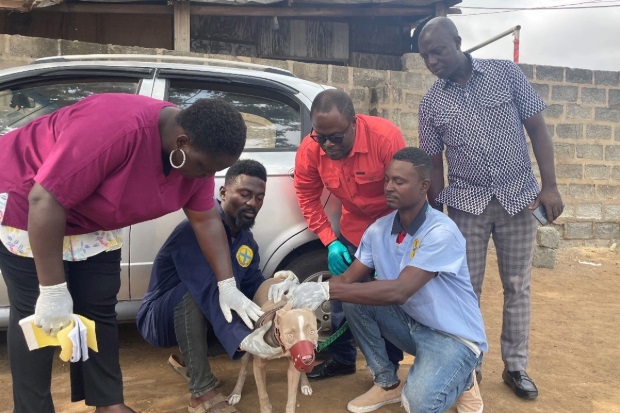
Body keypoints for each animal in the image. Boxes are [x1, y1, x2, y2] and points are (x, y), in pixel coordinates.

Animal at [228, 274, 318, 412]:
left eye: (312, 331)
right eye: (289, 334)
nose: (307, 357)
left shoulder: (293, 367)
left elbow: (291, 398)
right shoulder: (259, 366)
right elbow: (263, 394)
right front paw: (266, 408)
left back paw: (305, 384)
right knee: (243, 370)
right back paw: (236, 393)